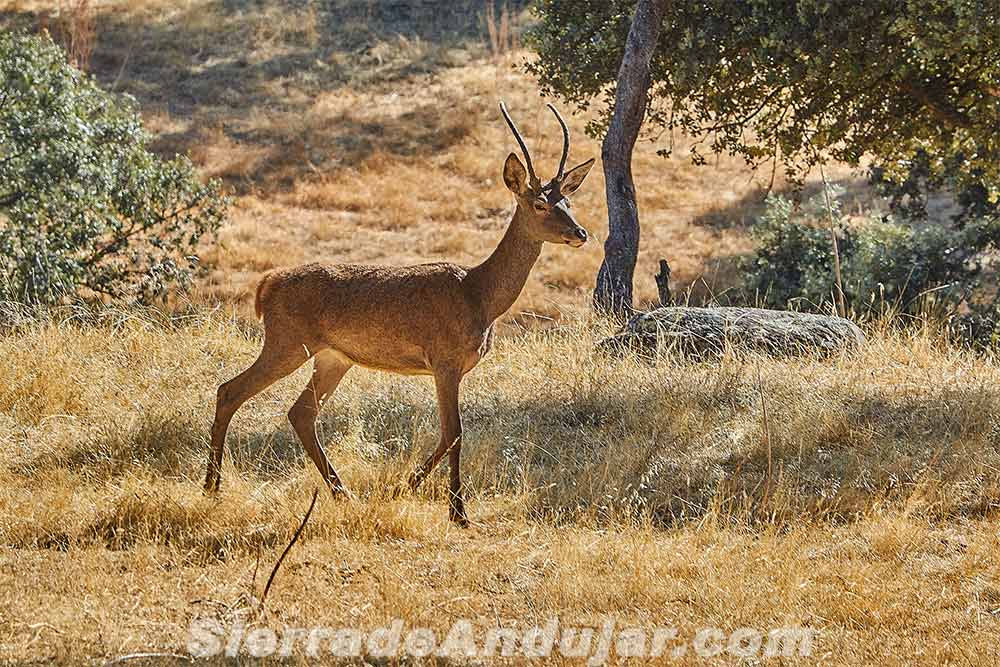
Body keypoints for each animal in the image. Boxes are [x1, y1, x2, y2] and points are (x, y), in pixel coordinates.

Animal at [203, 101, 595, 526]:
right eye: (539, 204)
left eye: (568, 202)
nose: (580, 234)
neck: (479, 296)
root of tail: (265, 286)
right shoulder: (444, 360)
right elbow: (454, 432)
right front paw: (456, 511)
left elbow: (449, 433)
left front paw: (404, 490)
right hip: (288, 341)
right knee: (230, 390)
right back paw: (212, 487)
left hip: (332, 357)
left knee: (301, 412)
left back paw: (343, 494)